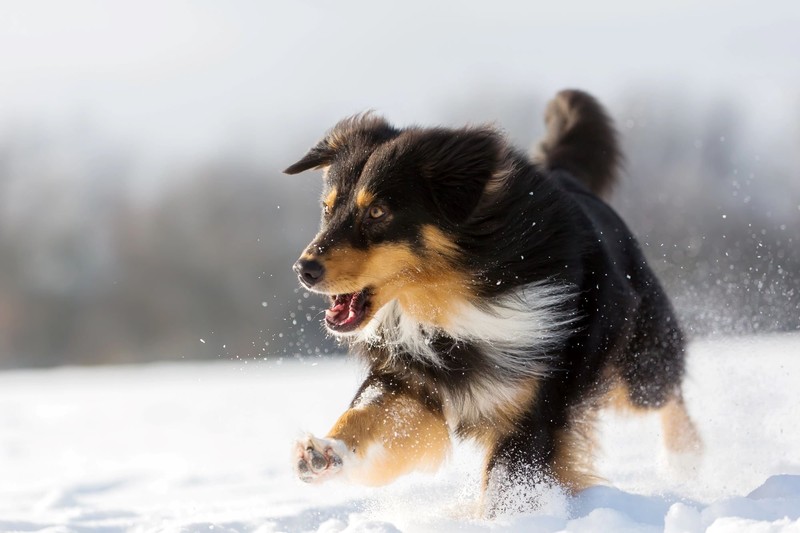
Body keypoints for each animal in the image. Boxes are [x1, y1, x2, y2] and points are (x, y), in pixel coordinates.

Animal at [284, 90, 696, 512]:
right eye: (327, 208)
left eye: (378, 211)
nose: (304, 269)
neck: (456, 298)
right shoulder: (412, 378)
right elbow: (368, 414)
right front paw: (323, 454)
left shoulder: (532, 406)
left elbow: (503, 485)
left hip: (639, 362)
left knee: (667, 389)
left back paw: (684, 462)